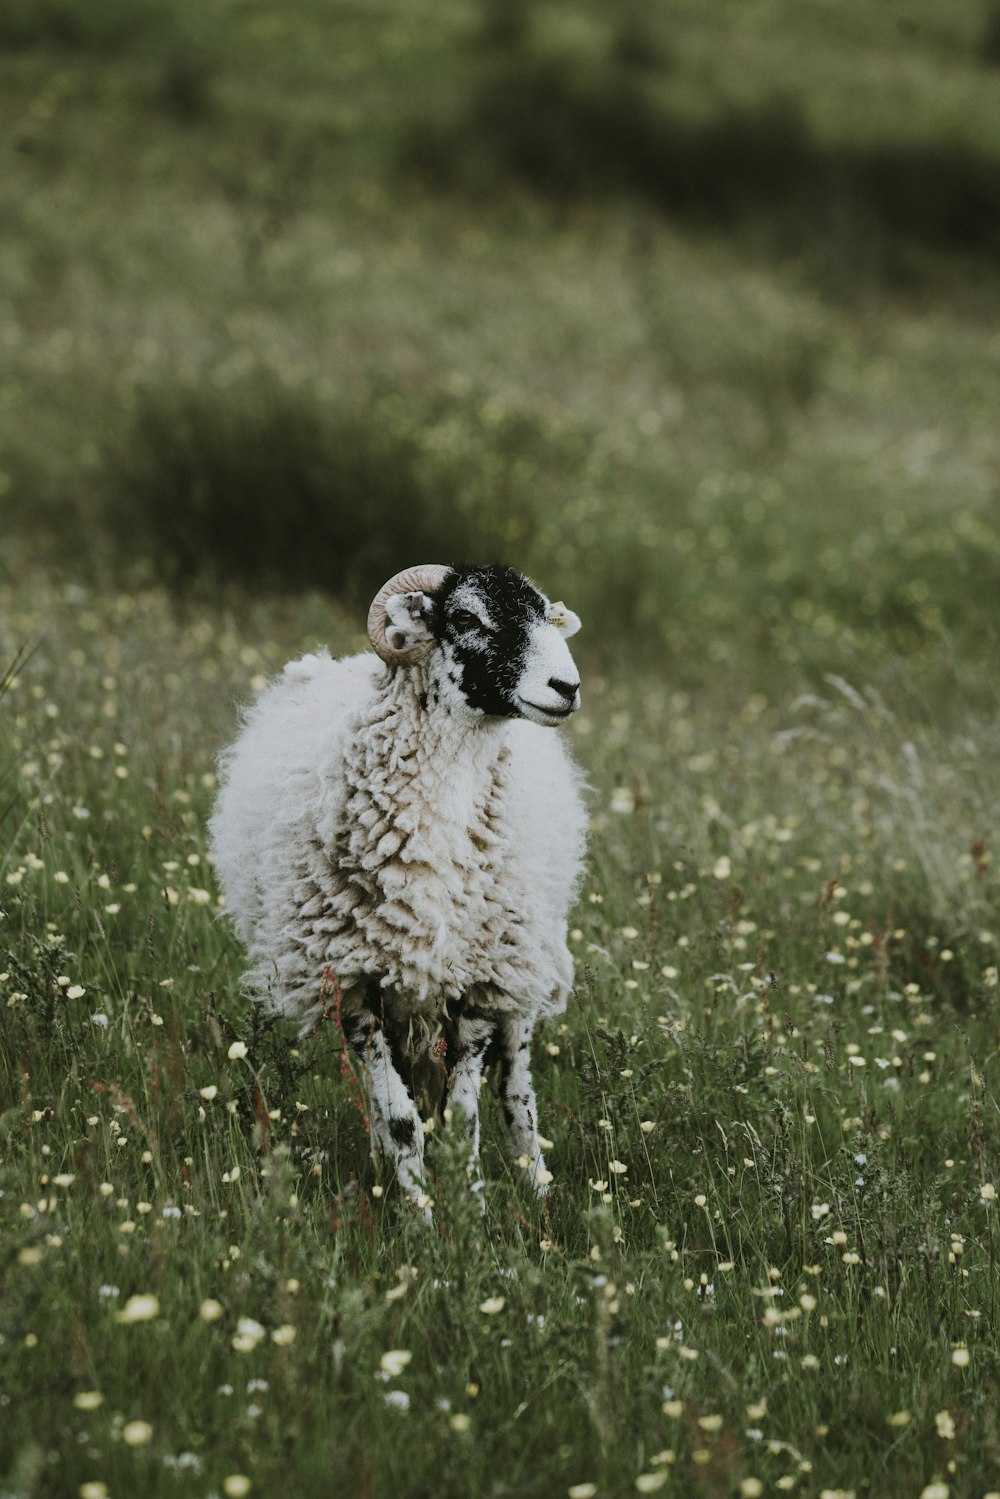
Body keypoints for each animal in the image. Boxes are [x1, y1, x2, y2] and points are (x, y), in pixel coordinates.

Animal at [211, 563, 587, 1205]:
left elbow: (464, 1119)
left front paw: (472, 1215)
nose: (567, 686)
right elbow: (401, 1117)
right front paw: (419, 1214)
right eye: (464, 617)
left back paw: (535, 1187)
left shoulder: (478, 981)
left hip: (521, 963)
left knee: (517, 1086)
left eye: (546, 615)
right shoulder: (355, 985)